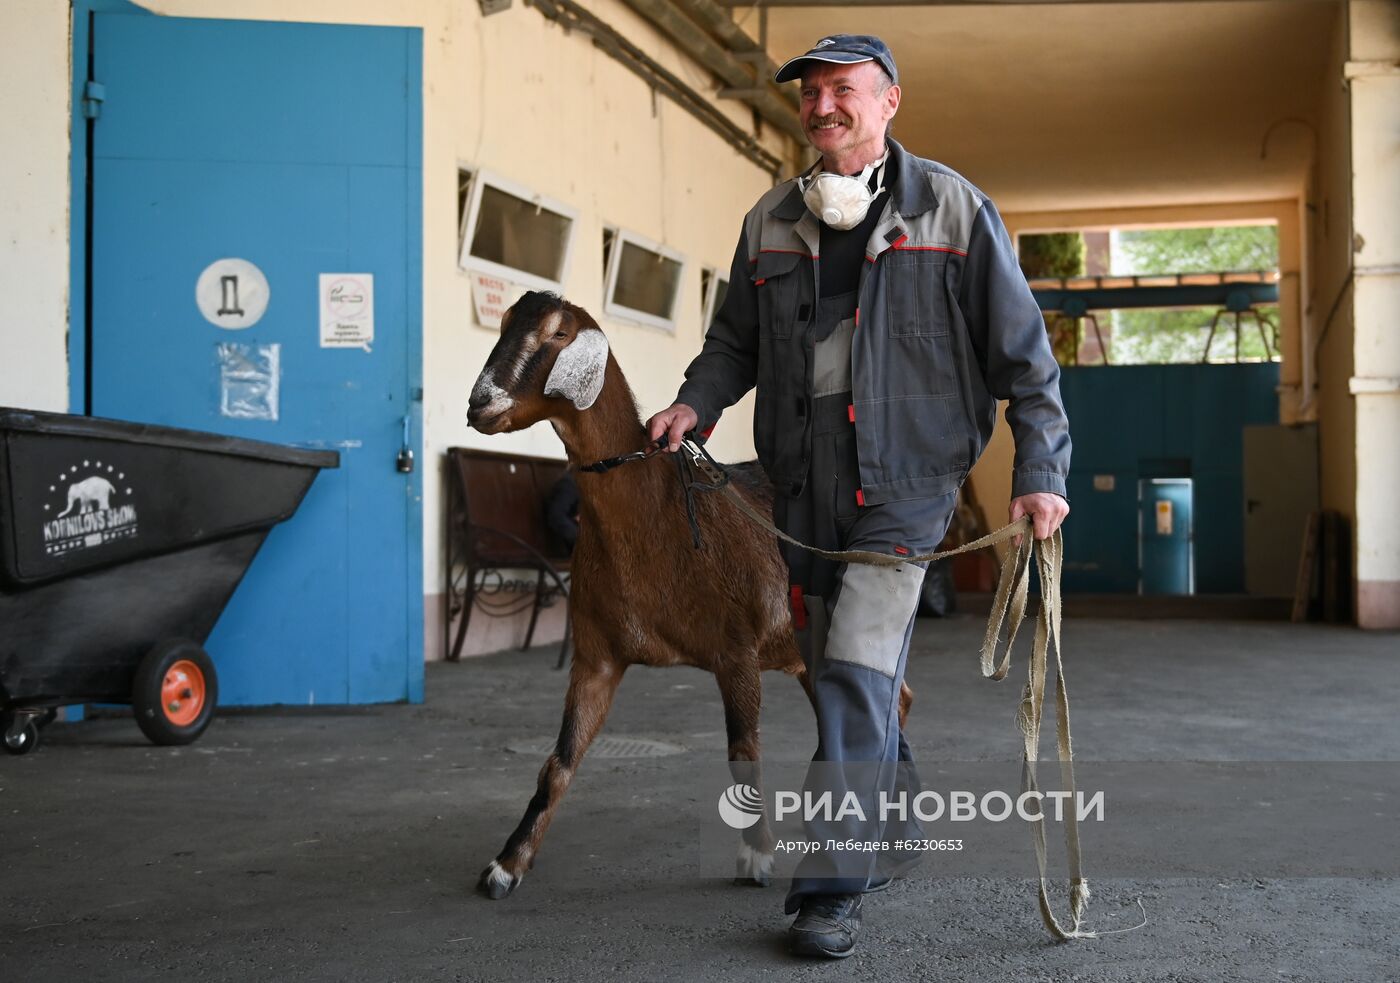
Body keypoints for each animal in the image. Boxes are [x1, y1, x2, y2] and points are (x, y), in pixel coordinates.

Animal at [464, 291, 912, 901]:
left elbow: (743, 752)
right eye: (506, 323)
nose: (479, 404)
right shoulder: (597, 658)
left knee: (893, 702)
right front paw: (508, 862)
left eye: (557, 334)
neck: (659, 511)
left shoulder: (736, 651)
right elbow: (559, 760)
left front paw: (756, 855)